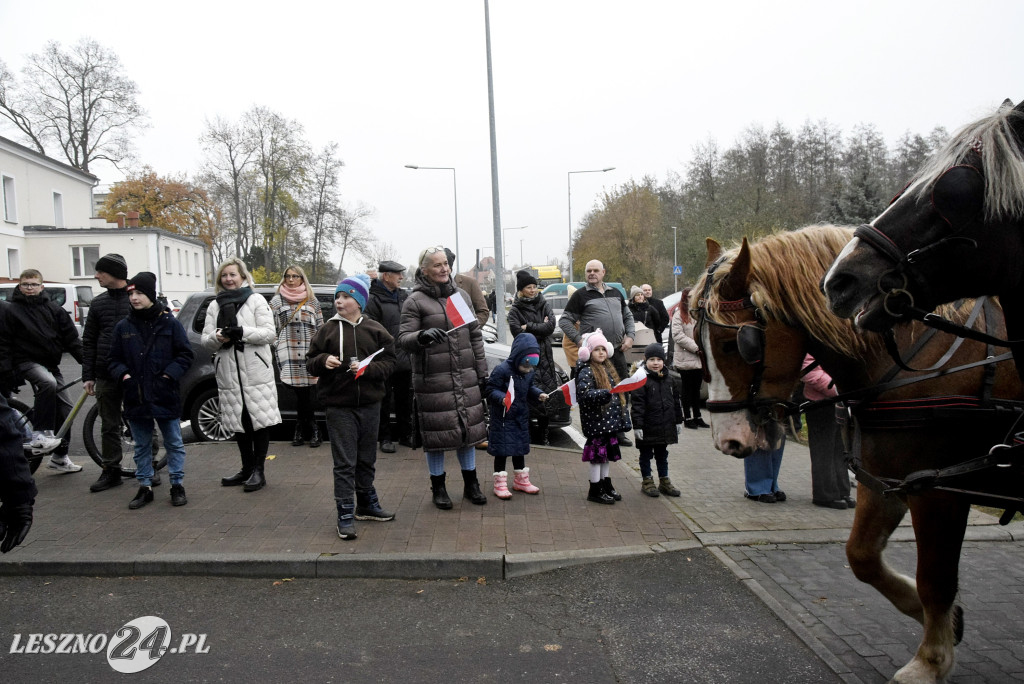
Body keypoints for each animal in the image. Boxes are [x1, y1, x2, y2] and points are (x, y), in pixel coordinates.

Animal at [692, 225, 1019, 684]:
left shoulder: (937, 488)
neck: (912, 357)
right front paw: (944, 622)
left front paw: (930, 661)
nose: (728, 442)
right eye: (697, 344)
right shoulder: (889, 480)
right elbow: (862, 558)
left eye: (732, 343)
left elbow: (935, 578)